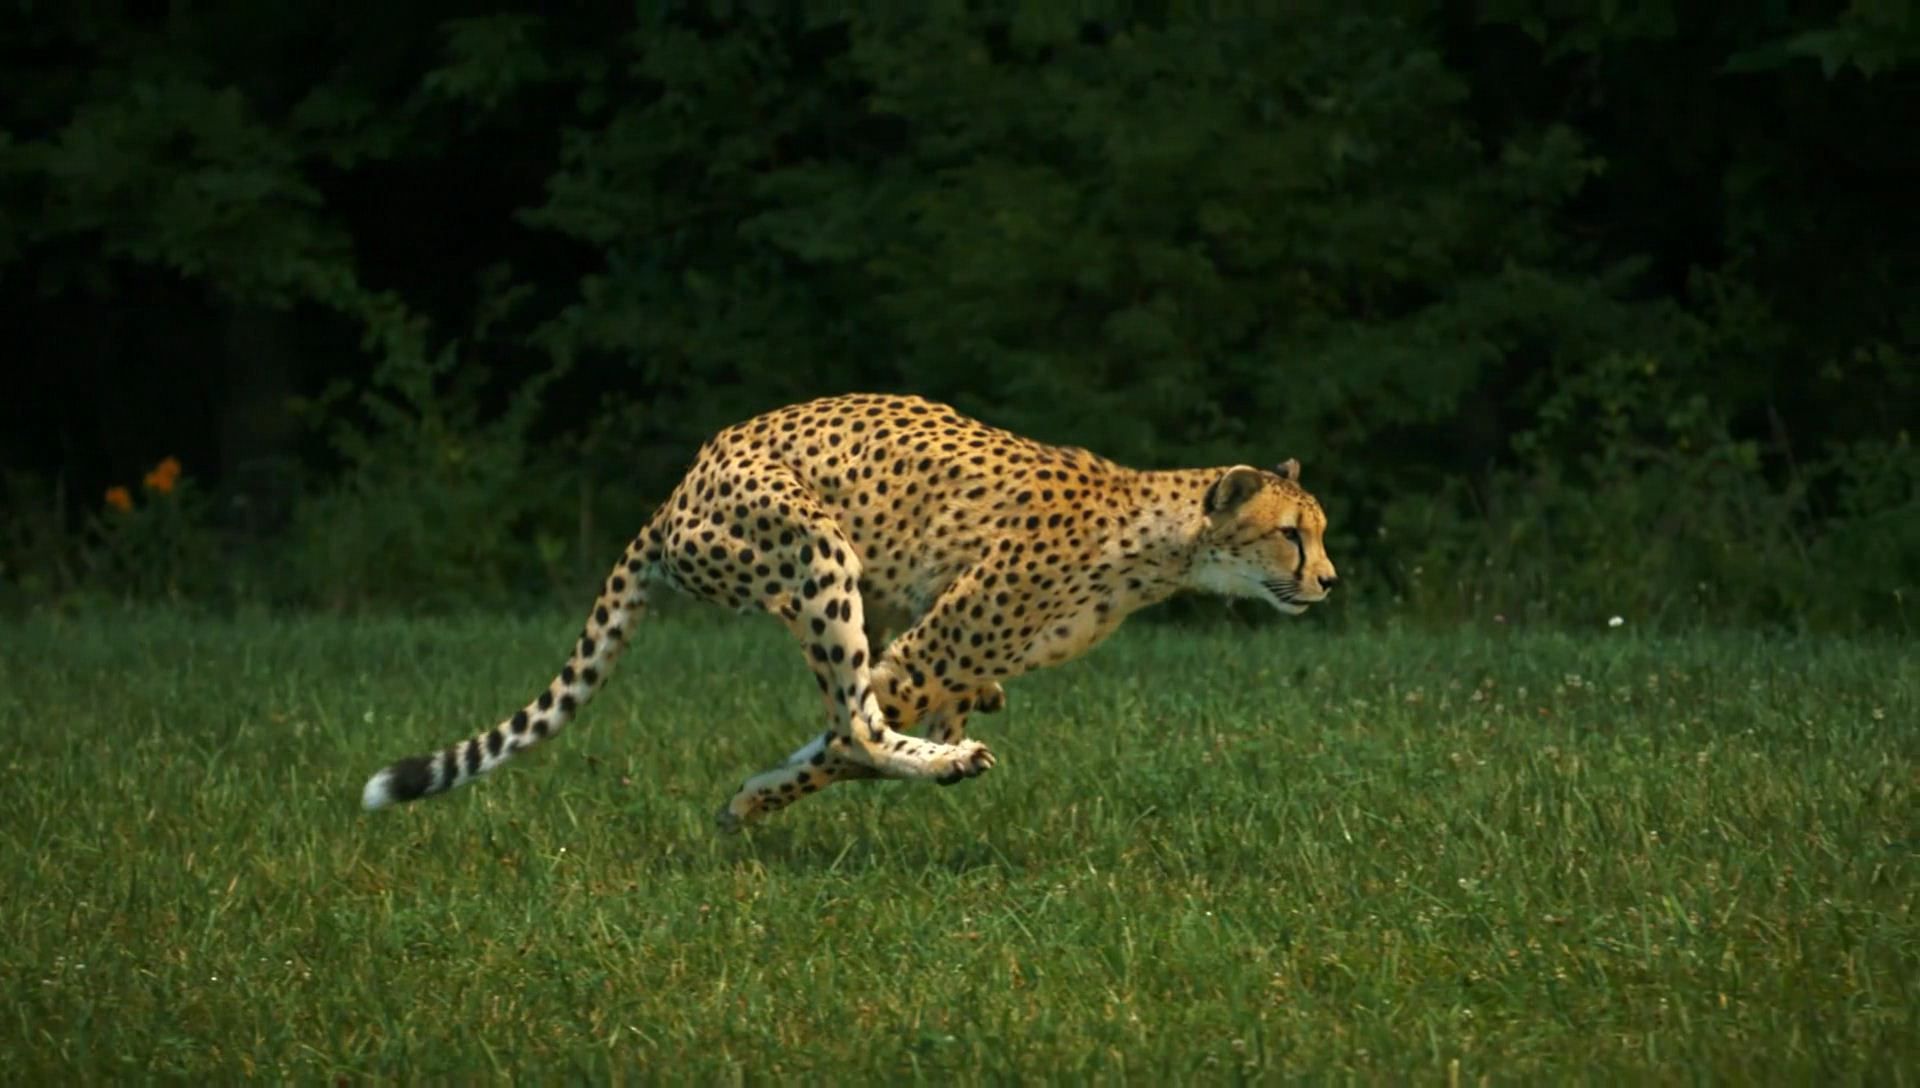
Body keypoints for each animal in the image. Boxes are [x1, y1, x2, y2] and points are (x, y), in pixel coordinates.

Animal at [359, 393, 1339, 832]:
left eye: (1318, 532)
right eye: (1291, 534)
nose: (1330, 581)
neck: (1162, 542)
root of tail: (679, 488)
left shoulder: (934, 657)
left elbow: (855, 730)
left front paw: (757, 795)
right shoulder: (926, 650)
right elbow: (839, 744)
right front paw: (754, 801)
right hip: (818, 551)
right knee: (856, 720)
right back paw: (940, 763)